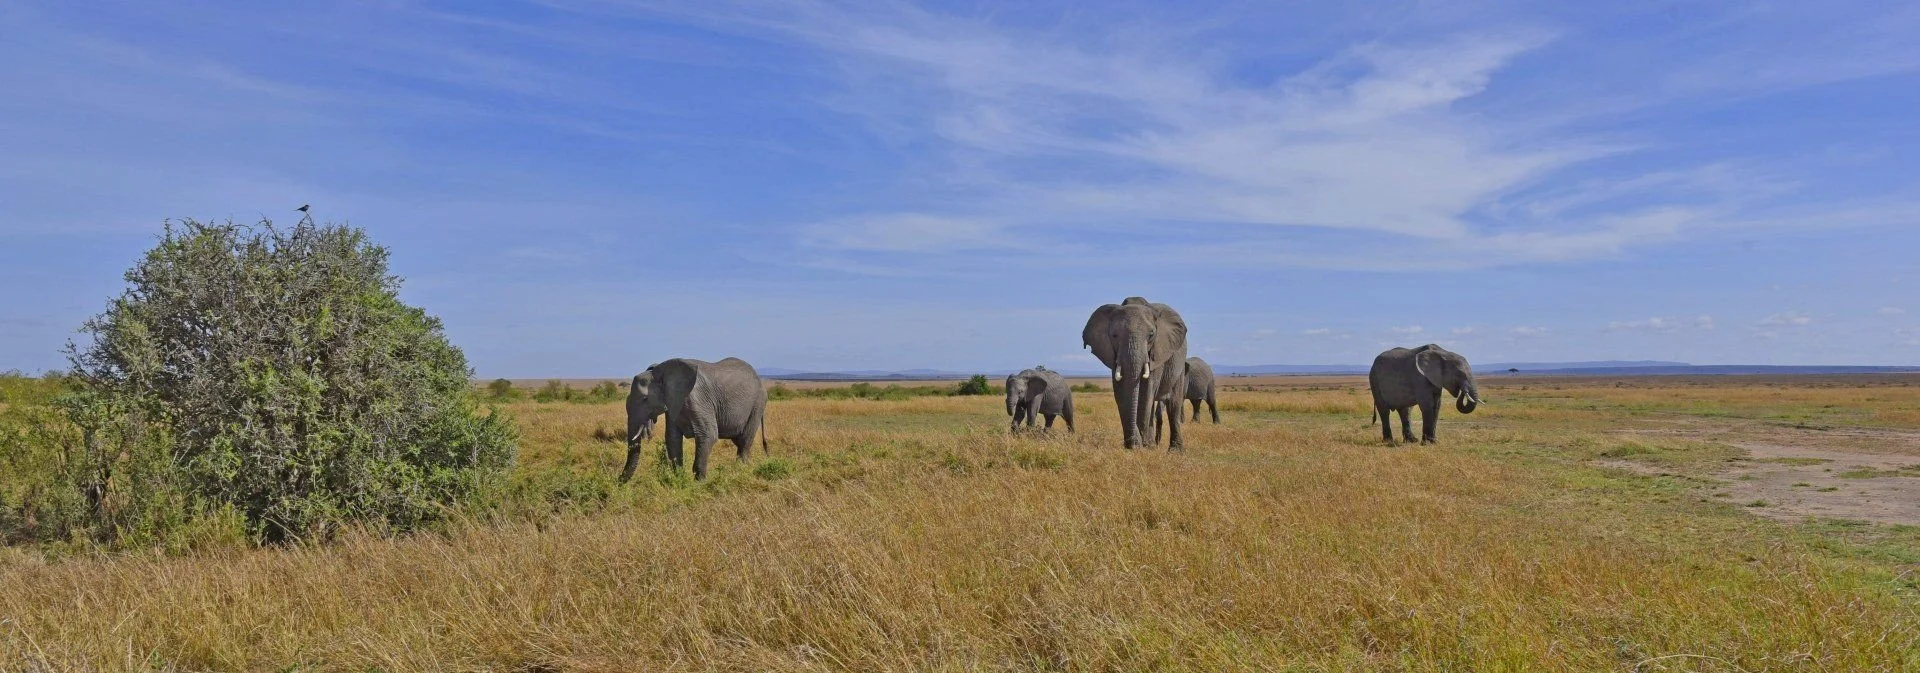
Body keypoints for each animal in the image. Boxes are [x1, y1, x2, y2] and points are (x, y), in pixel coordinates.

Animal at [623, 357, 768, 481]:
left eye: (645, 399)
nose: (620, 482)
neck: (660, 371)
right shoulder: (672, 403)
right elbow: (672, 438)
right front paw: (679, 480)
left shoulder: (698, 399)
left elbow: (708, 435)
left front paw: (700, 484)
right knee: (739, 441)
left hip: (758, 403)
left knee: (745, 440)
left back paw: (741, 471)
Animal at [1083, 297, 1189, 450]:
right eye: (1114, 335)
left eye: (1151, 335)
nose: (1133, 445)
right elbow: (1120, 392)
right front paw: (1135, 445)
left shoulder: (1156, 353)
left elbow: (1146, 392)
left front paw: (1140, 445)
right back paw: (1151, 444)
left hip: (1179, 364)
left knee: (1174, 403)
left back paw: (1174, 451)